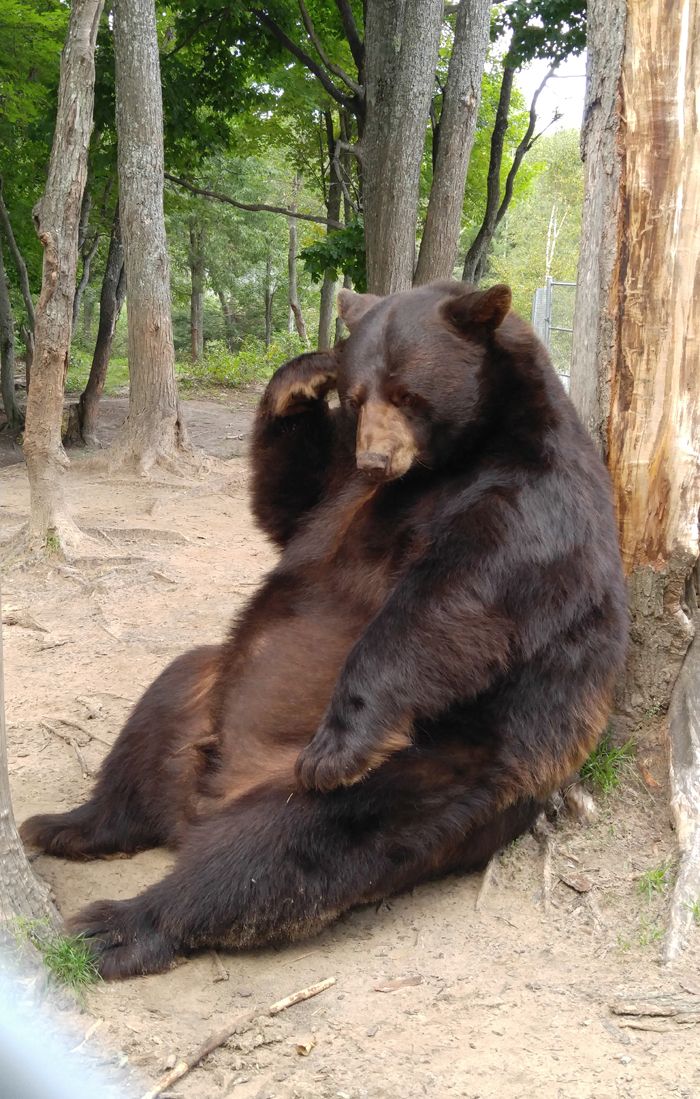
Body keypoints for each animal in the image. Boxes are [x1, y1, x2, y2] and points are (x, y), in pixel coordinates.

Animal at [20, 276, 628, 980]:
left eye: (409, 394)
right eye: (358, 395)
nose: (377, 458)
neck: (453, 460)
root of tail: (208, 796)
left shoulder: (534, 503)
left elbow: (453, 603)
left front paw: (341, 741)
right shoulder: (340, 478)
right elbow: (288, 504)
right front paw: (302, 377)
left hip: (437, 774)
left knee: (275, 852)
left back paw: (120, 926)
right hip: (200, 693)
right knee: (155, 713)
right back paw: (69, 824)